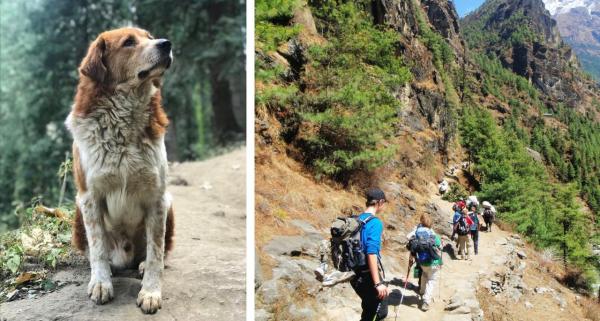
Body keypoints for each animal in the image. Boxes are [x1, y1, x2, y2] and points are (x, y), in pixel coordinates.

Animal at [68, 27, 177, 312]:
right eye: (129, 43)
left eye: (149, 36)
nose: (166, 44)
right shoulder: (89, 196)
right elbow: (97, 248)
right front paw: (101, 283)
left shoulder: (157, 196)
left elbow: (156, 251)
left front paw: (151, 292)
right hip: (77, 209)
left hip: (169, 203)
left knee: (157, 252)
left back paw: (141, 264)